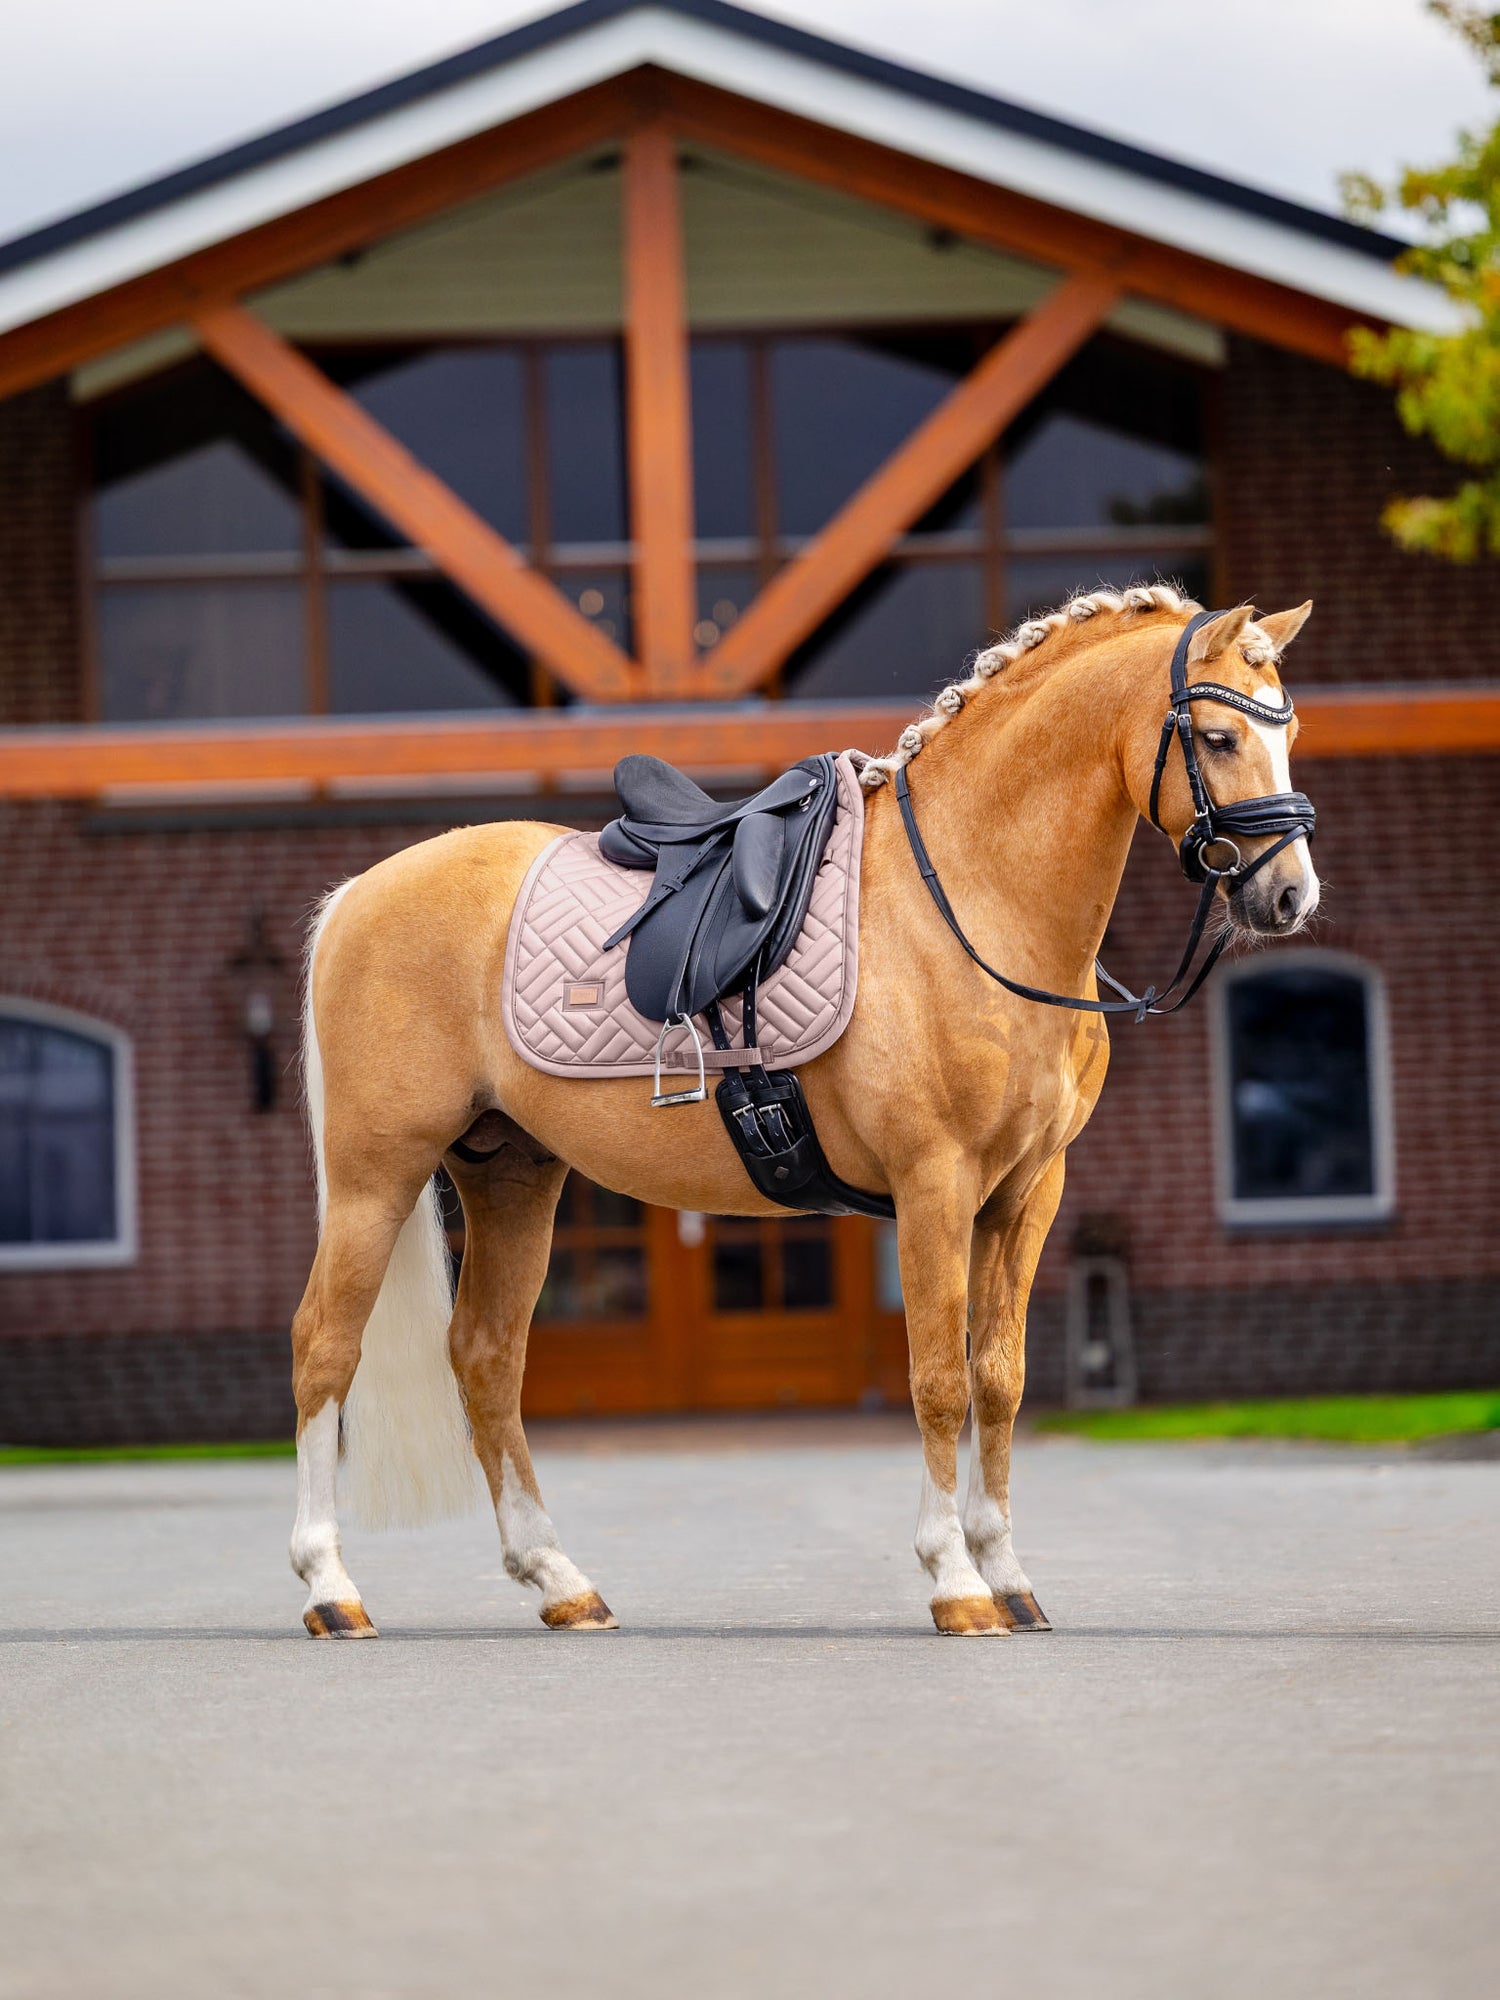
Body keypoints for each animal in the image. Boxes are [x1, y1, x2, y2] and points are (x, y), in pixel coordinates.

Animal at [289, 585, 1318, 1640]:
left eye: (1288, 732)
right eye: (1218, 736)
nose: (1289, 896)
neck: (970, 902)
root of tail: (359, 893)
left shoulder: (1027, 1193)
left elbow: (999, 1376)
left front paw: (1006, 1573)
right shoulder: (935, 1184)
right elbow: (939, 1379)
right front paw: (955, 1581)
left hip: (512, 1175)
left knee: (487, 1358)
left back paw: (559, 1580)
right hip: (377, 1177)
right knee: (324, 1348)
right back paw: (332, 1587)